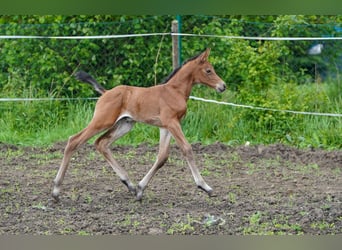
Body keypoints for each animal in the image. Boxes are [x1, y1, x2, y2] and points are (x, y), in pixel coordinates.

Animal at [52, 47, 226, 202]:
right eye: (208, 70)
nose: (223, 86)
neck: (174, 91)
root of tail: (106, 93)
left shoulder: (166, 126)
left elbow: (162, 156)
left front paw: (140, 189)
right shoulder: (172, 122)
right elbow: (187, 149)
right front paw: (205, 187)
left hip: (125, 124)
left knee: (101, 143)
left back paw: (129, 184)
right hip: (102, 121)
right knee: (74, 141)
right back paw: (55, 191)